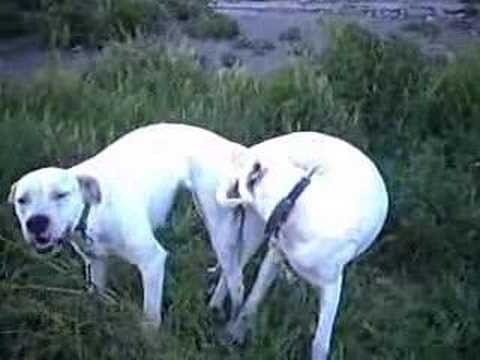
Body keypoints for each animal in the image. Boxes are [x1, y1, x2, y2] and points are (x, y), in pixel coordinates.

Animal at [216, 132, 388, 360]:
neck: (293, 203)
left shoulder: (331, 286)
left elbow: (320, 343)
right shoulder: (275, 256)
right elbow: (252, 301)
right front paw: (234, 334)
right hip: (252, 233)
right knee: (232, 272)